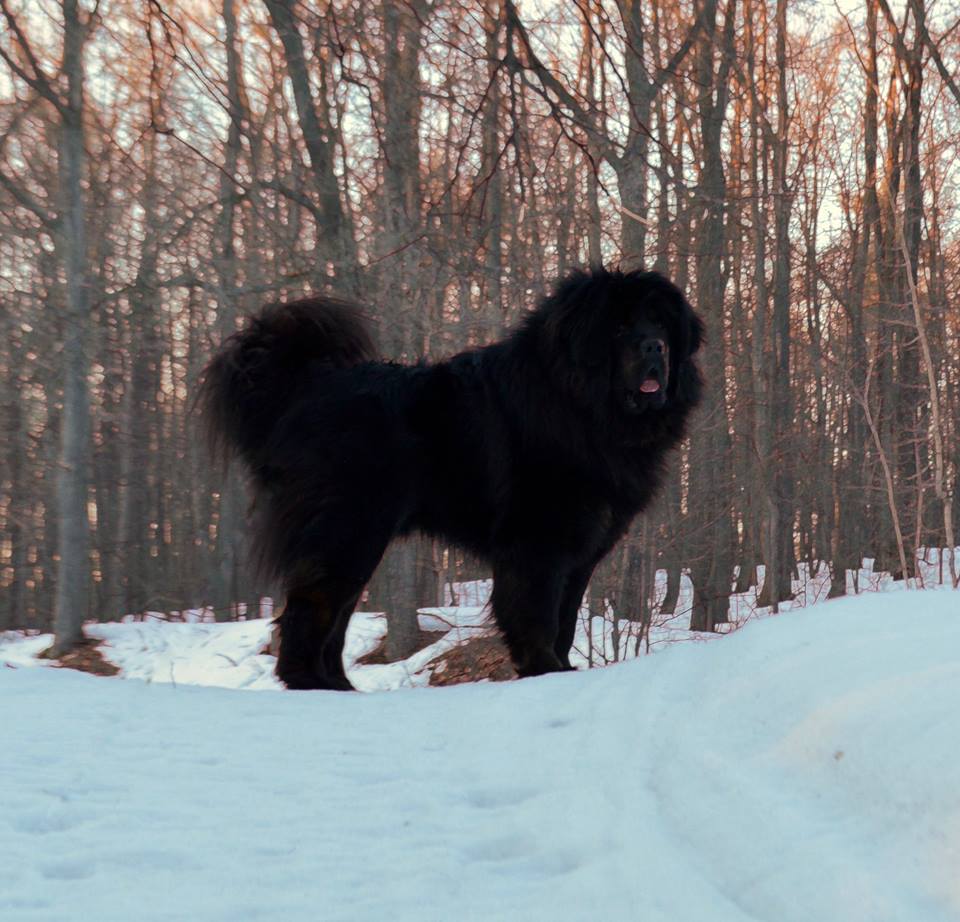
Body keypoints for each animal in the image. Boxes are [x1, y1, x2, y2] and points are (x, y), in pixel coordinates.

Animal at [199, 266, 700, 684]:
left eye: (660, 326)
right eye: (618, 328)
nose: (655, 347)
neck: (577, 404)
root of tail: (304, 390)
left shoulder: (579, 551)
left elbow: (565, 617)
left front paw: (562, 669)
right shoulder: (537, 544)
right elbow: (537, 614)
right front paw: (544, 671)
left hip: (359, 539)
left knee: (333, 619)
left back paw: (339, 686)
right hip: (345, 530)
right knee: (310, 609)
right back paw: (311, 686)